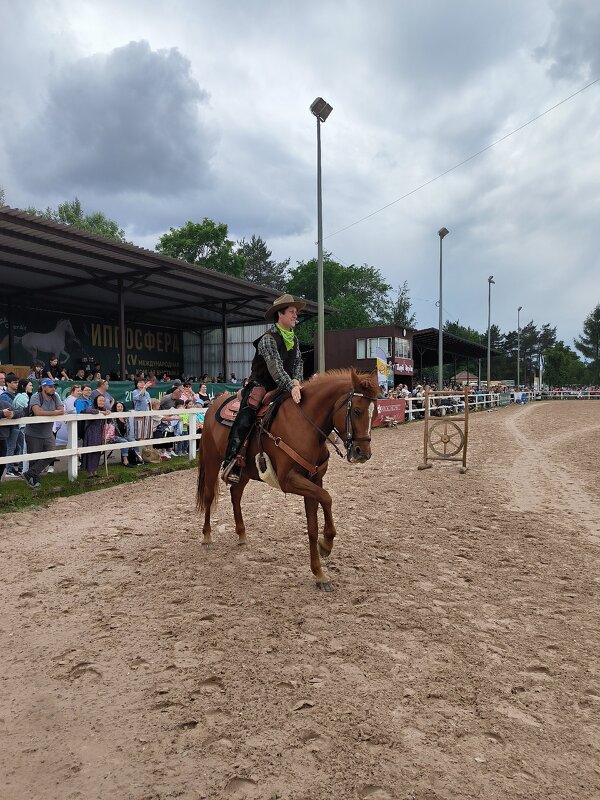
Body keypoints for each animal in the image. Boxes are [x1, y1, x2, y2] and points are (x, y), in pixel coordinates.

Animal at [197, 368, 378, 588]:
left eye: (374, 412)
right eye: (357, 410)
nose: (363, 453)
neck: (305, 425)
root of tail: (215, 403)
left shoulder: (314, 480)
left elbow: (313, 525)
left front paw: (319, 573)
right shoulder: (288, 480)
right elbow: (327, 497)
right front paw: (326, 544)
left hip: (245, 471)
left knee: (235, 494)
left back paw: (241, 533)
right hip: (212, 460)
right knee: (208, 496)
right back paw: (207, 537)